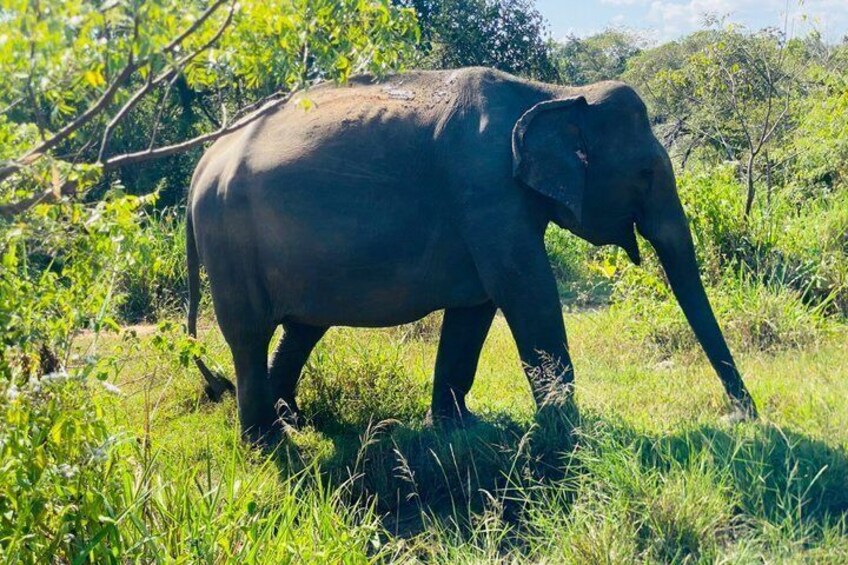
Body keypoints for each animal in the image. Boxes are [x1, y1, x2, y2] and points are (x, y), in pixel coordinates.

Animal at [186, 67, 758, 442]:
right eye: (645, 173)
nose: (741, 416)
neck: (553, 94)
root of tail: (202, 164)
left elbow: (476, 307)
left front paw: (459, 429)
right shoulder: (485, 190)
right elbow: (527, 290)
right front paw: (568, 435)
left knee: (303, 326)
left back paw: (293, 421)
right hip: (229, 241)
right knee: (249, 332)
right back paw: (268, 443)